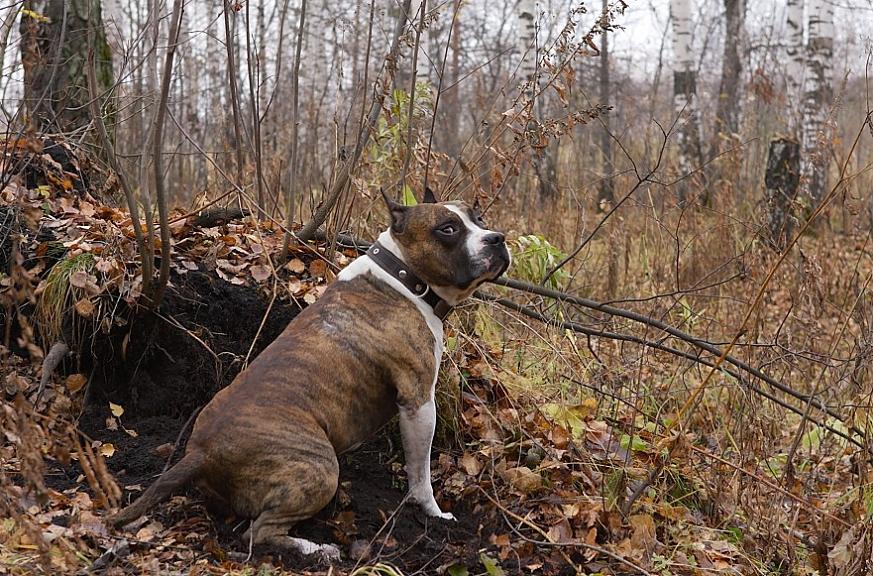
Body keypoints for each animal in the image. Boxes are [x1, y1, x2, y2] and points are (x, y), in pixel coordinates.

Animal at [107, 189, 510, 560]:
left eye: (479, 219)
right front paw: (433, 512)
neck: (402, 276)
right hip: (318, 468)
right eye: (448, 229)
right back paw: (316, 548)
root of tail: (202, 451)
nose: (497, 238)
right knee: (258, 533)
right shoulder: (418, 401)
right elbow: (420, 471)